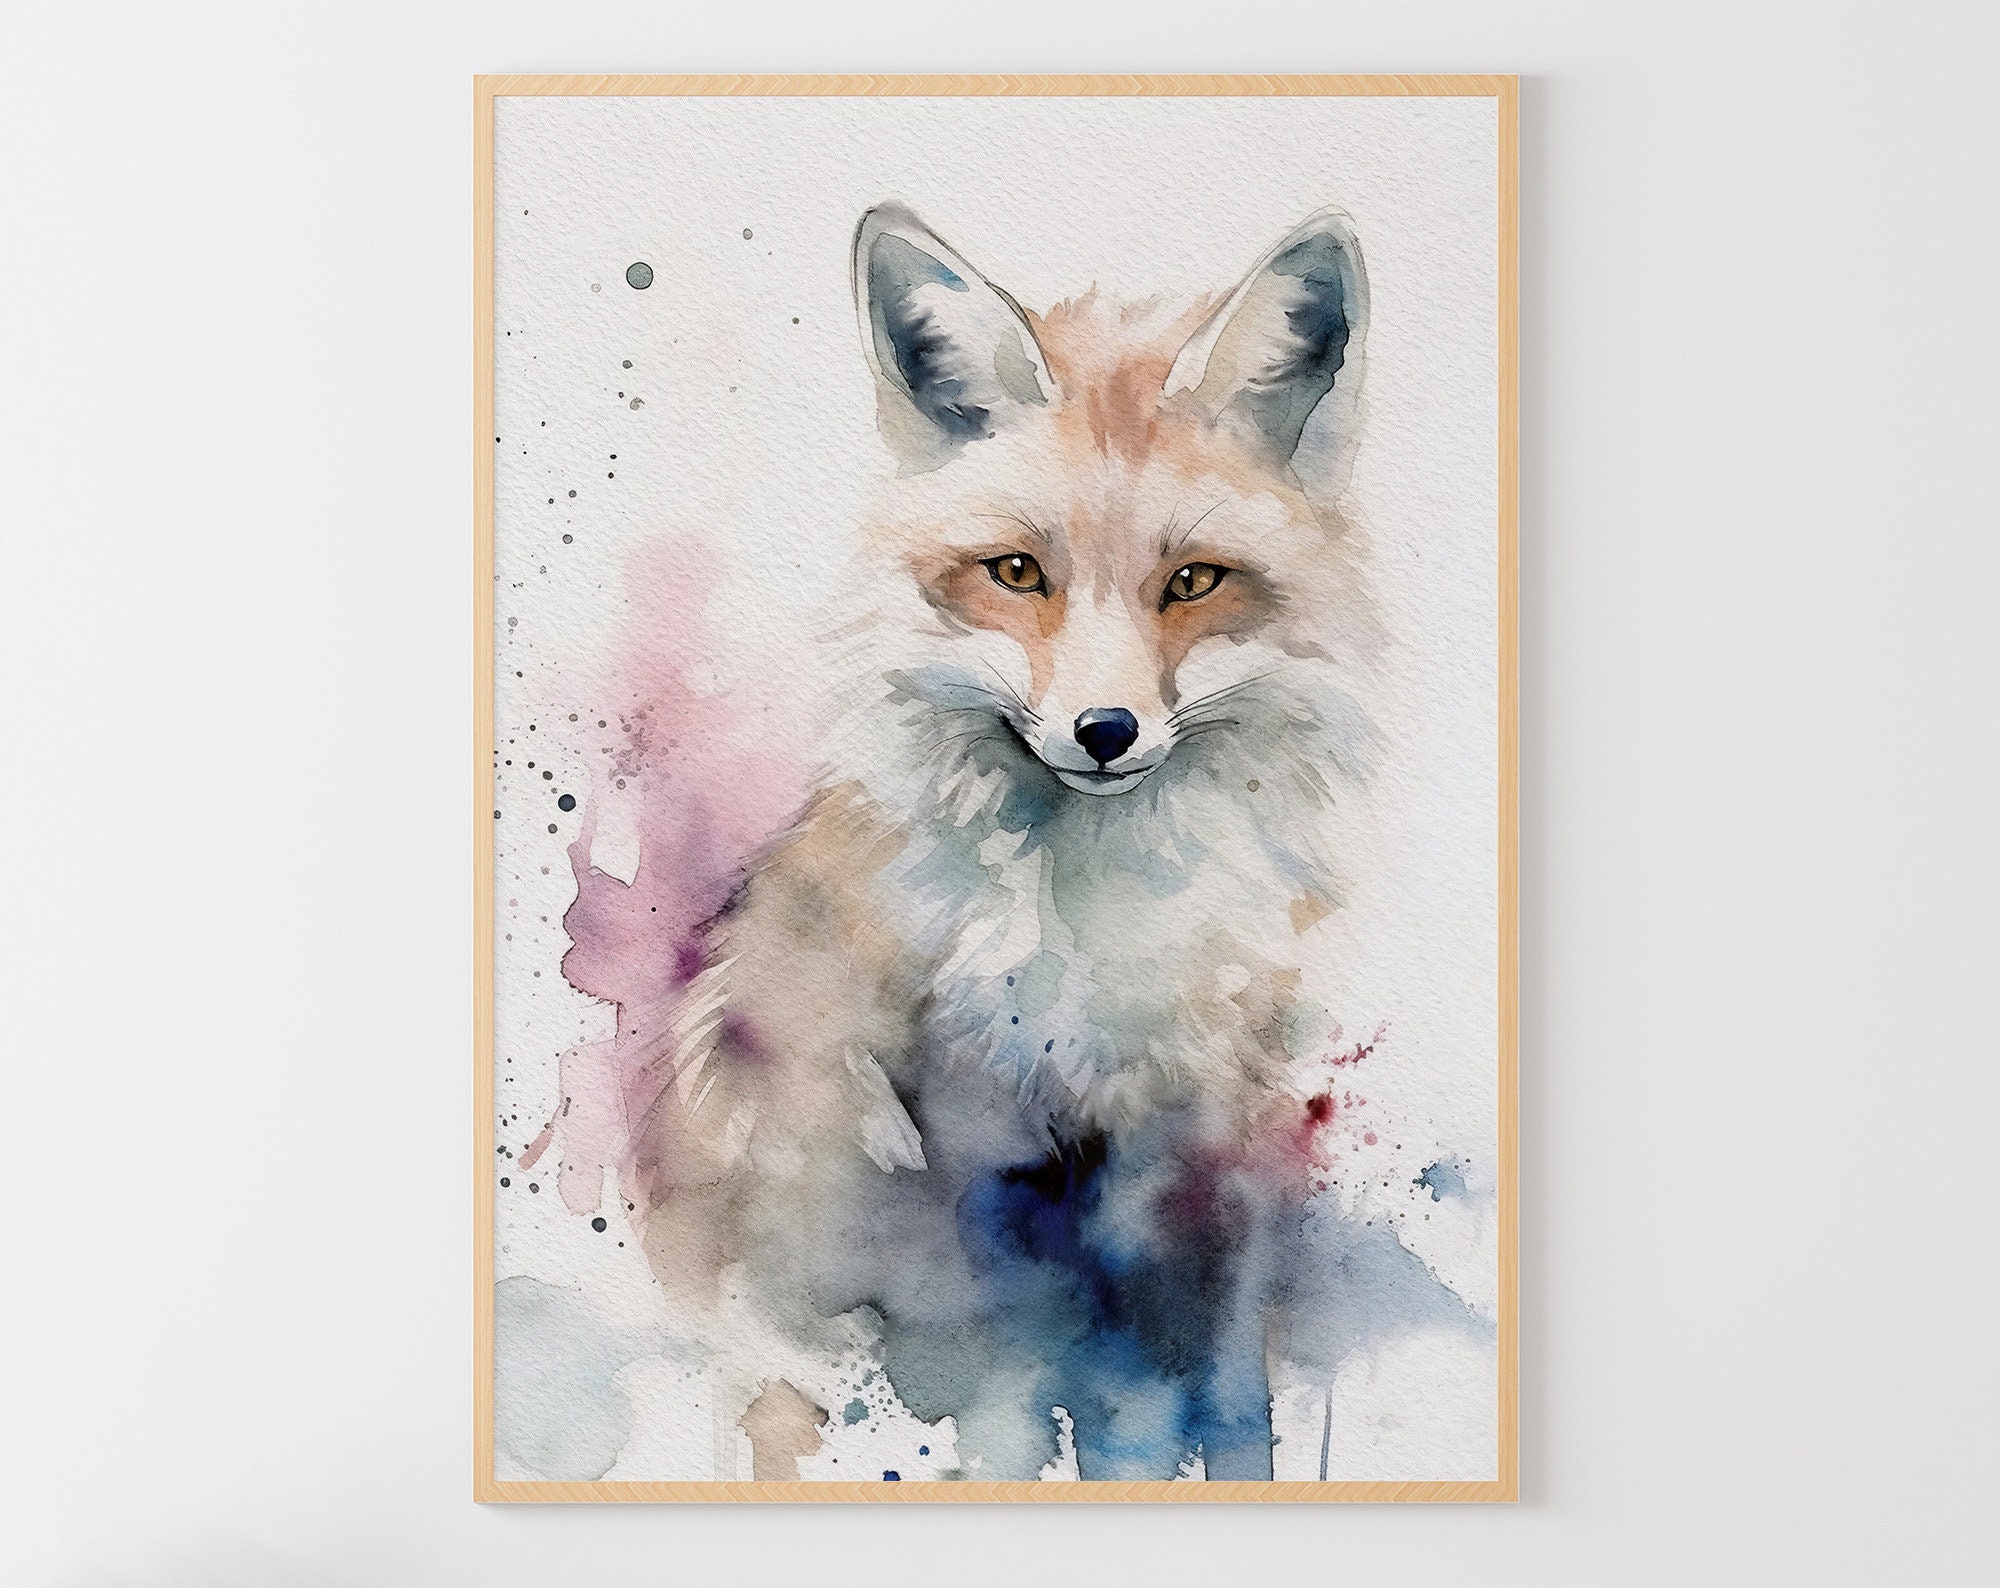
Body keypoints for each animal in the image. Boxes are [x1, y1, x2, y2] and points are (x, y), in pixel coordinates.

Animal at [611, 202, 1437, 1482]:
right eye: (1015, 572)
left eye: (1192, 582)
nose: (1105, 731)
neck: (1101, 940)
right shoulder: (977, 1178)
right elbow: (1015, 1419)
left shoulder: (1213, 1162)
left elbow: (1221, 1406)